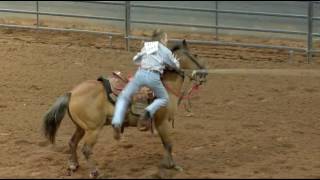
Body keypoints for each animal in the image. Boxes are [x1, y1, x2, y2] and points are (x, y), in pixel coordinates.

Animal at [42, 40, 208, 178]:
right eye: (194, 55)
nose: (204, 73)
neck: (165, 85)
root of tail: (72, 93)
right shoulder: (162, 122)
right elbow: (168, 143)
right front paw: (172, 165)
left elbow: (166, 144)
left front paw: (168, 164)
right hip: (93, 129)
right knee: (86, 149)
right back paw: (95, 172)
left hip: (81, 127)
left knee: (72, 143)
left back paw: (73, 165)